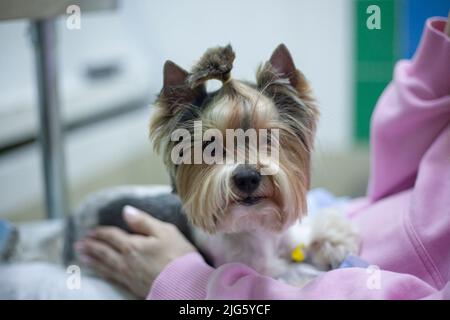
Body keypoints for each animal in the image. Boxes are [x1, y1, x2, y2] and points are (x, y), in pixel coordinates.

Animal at [64, 43, 358, 286]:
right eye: (211, 147)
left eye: (269, 138)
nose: (248, 177)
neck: (255, 227)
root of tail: (70, 221)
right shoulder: (253, 267)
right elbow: (292, 273)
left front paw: (335, 241)